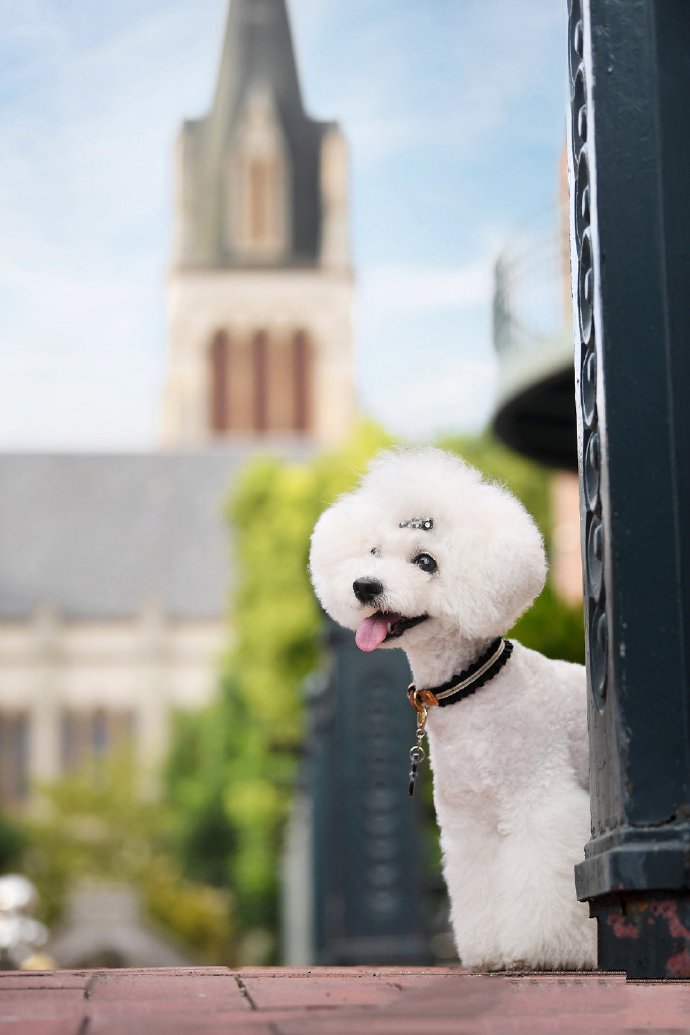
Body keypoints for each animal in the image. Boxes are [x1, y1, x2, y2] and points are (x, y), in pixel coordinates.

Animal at [310, 447, 595, 968]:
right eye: (374, 553)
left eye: (426, 561)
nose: (364, 586)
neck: (472, 687)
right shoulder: (469, 821)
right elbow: (478, 882)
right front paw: (489, 950)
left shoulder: (538, 799)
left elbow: (542, 875)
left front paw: (541, 949)